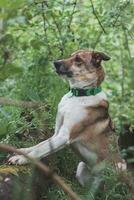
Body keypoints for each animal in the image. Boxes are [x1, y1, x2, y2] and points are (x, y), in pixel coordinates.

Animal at [8, 50, 125, 188]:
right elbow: (39, 145)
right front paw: (21, 151)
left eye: (78, 59)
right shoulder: (57, 133)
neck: (78, 96)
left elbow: (40, 150)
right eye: (70, 55)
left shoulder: (64, 136)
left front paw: (21, 159)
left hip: (119, 168)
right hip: (81, 169)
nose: (55, 62)